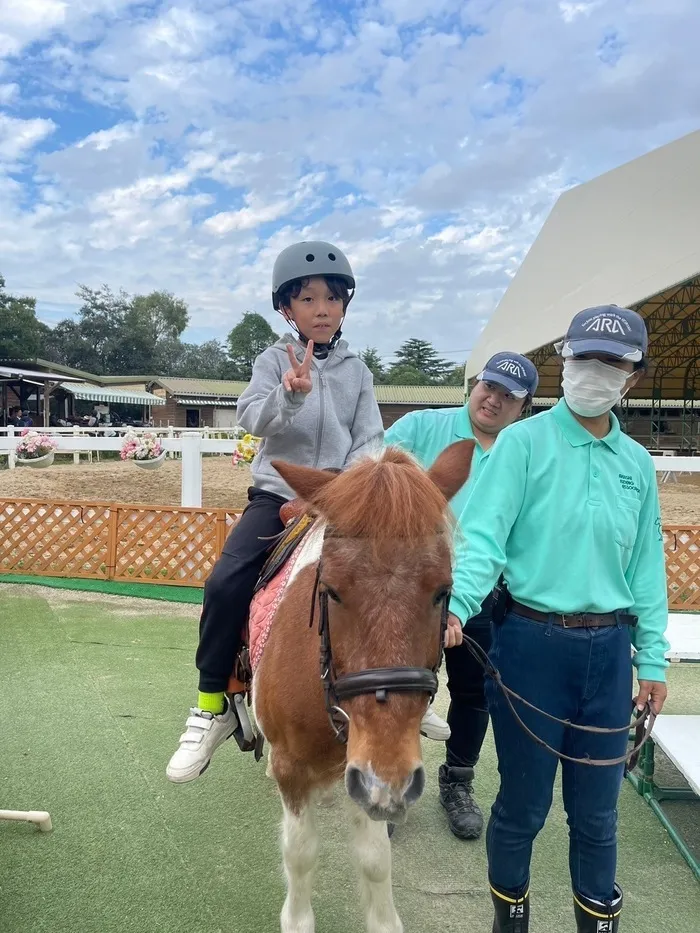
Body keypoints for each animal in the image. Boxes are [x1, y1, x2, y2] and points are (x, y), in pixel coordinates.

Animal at [252, 438, 476, 932]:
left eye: (443, 590)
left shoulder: (372, 775)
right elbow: (300, 853)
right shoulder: (300, 770)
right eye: (331, 591)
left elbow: (375, 858)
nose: (388, 778)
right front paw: (297, 919)